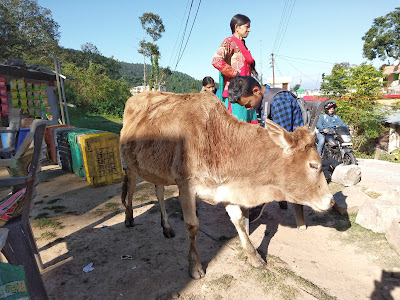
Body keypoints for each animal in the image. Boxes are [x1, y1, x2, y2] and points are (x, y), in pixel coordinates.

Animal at [119, 91, 334, 278]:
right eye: (313, 165)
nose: (331, 201)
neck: (217, 141)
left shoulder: (227, 189)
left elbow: (238, 221)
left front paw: (254, 257)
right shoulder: (185, 185)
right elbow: (192, 225)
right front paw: (195, 266)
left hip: (157, 170)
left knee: (159, 192)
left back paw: (166, 227)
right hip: (131, 166)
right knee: (130, 190)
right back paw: (129, 217)